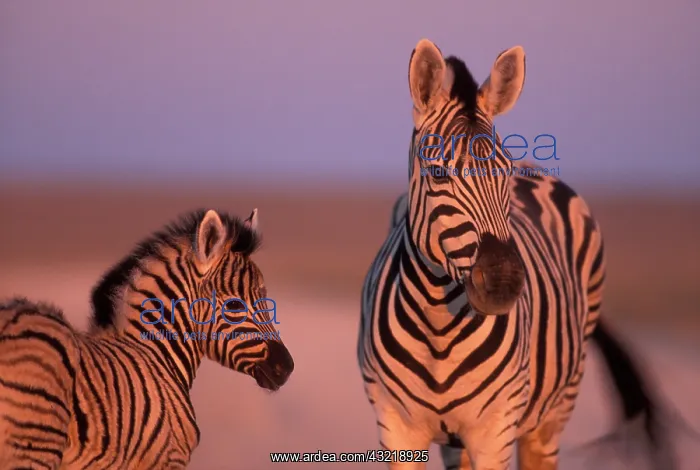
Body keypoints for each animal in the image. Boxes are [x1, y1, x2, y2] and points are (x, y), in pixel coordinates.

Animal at [358, 39, 674, 470]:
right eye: (438, 174)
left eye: (504, 173)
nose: (503, 281)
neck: (438, 329)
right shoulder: (396, 428)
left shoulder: (495, 430)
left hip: (553, 412)